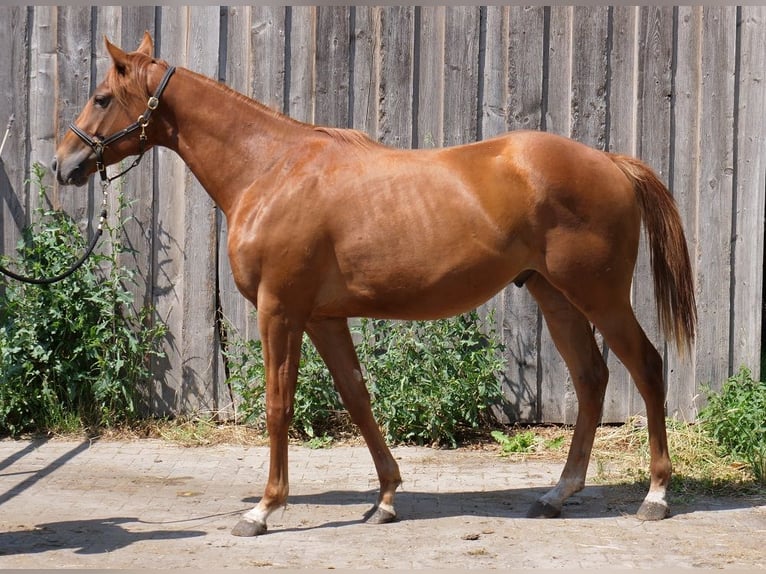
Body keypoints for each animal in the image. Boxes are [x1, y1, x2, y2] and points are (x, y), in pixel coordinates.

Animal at [51, 31, 700, 536]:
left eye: (102, 97)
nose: (63, 164)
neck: (270, 169)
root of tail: (610, 162)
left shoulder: (280, 310)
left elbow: (278, 405)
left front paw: (263, 510)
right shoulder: (323, 317)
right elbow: (358, 399)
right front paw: (386, 498)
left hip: (600, 296)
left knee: (646, 367)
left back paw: (655, 496)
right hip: (554, 295)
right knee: (592, 380)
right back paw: (558, 493)